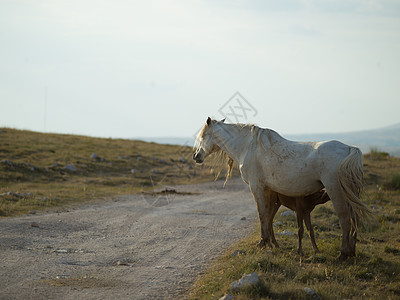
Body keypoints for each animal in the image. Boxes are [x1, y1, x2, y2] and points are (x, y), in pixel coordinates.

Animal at [194, 117, 372, 260]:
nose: (196, 156)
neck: (248, 147)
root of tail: (349, 149)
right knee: (354, 218)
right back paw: (351, 252)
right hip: (348, 193)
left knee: (345, 219)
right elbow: (267, 216)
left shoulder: (256, 187)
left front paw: (262, 243)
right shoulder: (268, 191)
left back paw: (343, 254)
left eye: (202, 136)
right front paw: (269, 243)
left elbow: (261, 214)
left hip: (335, 190)